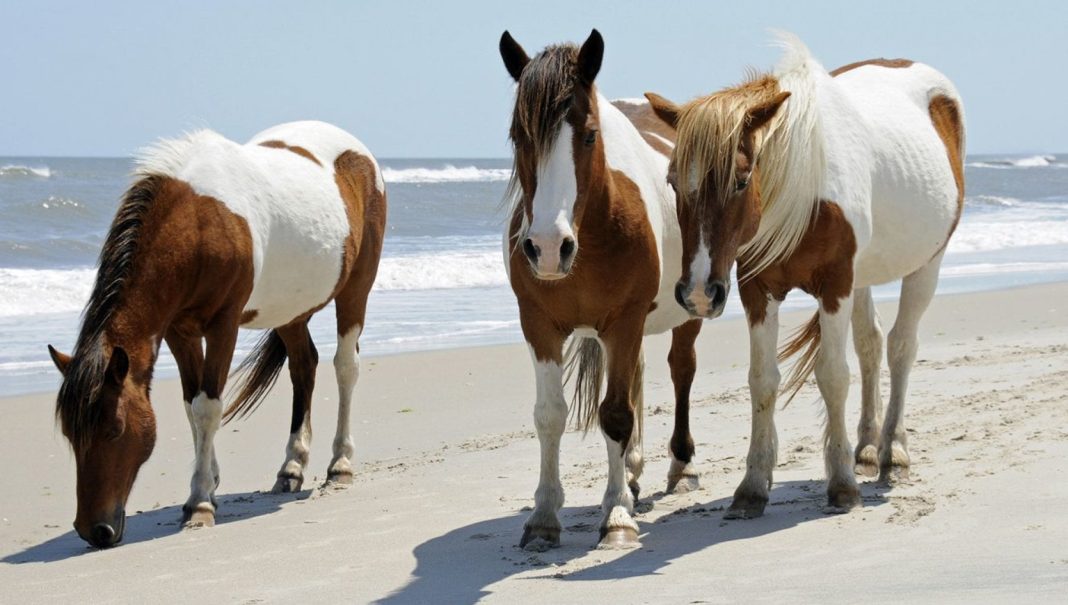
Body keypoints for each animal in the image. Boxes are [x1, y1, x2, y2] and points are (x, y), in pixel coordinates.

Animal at [48, 120, 388, 547]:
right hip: (289, 310)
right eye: (70, 434)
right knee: (303, 367)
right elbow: (191, 405)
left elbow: (208, 406)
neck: (198, 224)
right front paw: (207, 486)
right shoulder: (180, 331)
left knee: (345, 367)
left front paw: (199, 504)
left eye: (114, 430)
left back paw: (339, 465)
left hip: (356, 288)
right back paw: (291, 468)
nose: (94, 530)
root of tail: (359, 152)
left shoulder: (223, 326)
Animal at [497, 27, 704, 551]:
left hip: (687, 311)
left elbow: (615, 415)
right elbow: (551, 414)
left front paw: (616, 517)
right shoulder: (539, 325)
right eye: (518, 136)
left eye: (590, 135)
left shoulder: (624, 321)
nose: (548, 248)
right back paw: (631, 472)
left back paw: (681, 467)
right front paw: (544, 516)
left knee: (680, 371)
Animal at [645, 32, 965, 517]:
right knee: (871, 345)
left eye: (741, 180)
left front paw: (842, 485)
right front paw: (752, 486)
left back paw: (893, 452)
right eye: (672, 181)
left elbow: (832, 374)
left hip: (928, 263)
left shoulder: (835, 286)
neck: (802, 189)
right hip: (864, 277)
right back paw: (866, 448)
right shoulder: (756, 290)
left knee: (900, 348)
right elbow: (763, 380)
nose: (699, 293)